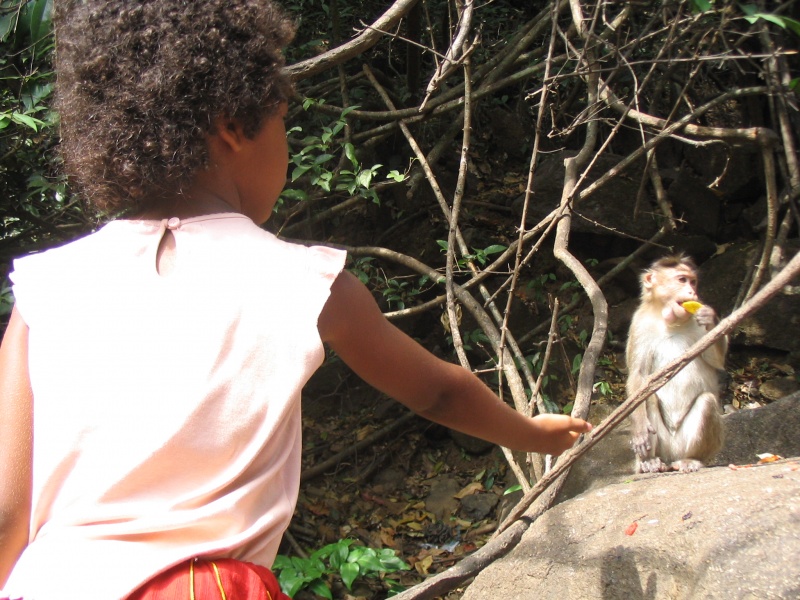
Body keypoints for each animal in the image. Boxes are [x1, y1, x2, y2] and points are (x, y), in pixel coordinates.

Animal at [625, 255, 727, 473]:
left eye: (693, 282)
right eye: (682, 280)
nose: (692, 292)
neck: (669, 321)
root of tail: (673, 454)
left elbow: (716, 361)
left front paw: (710, 317)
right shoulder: (639, 324)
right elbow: (638, 375)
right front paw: (639, 428)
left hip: (692, 443)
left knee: (707, 401)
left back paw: (692, 460)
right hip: (664, 444)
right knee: (649, 397)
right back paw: (650, 462)